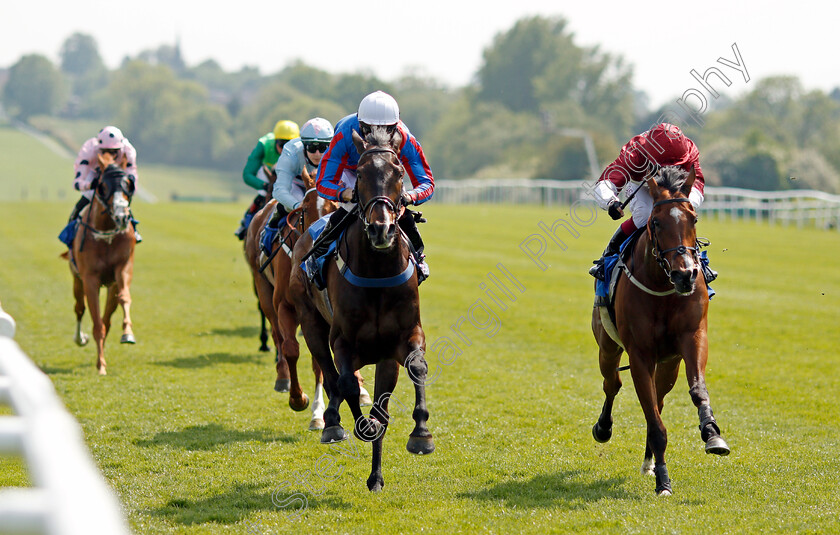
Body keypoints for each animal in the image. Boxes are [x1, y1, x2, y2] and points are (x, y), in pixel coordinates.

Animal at [65, 151, 137, 376]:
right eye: (103, 185)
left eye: (128, 184)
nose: (122, 216)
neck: (105, 234)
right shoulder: (90, 279)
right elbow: (96, 323)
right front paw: (101, 365)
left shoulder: (122, 269)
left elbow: (124, 298)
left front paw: (128, 333)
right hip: (76, 279)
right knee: (79, 308)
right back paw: (80, 339)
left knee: (107, 319)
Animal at [288, 127, 434, 492]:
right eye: (362, 173)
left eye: (399, 172)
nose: (382, 229)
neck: (377, 272)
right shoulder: (343, 340)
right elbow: (347, 385)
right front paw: (354, 425)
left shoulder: (404, 337)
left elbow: (416, 370)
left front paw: (421, 435)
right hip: (311, 323)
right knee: (329, 375)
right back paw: (330, 422)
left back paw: (376, 476)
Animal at [592, 165, 728, 496]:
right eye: (656, 222)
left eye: (694, 218)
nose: (685, 274)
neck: (663, 286)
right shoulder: (640, 354)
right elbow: (654, 423)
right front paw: (663, 481)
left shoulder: (693, 338)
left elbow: (697, 389)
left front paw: (712, 433)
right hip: (608, 347)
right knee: (612, 383)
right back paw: (604, 428)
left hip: (668, 364)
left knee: (659, 399)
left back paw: (649, 461)